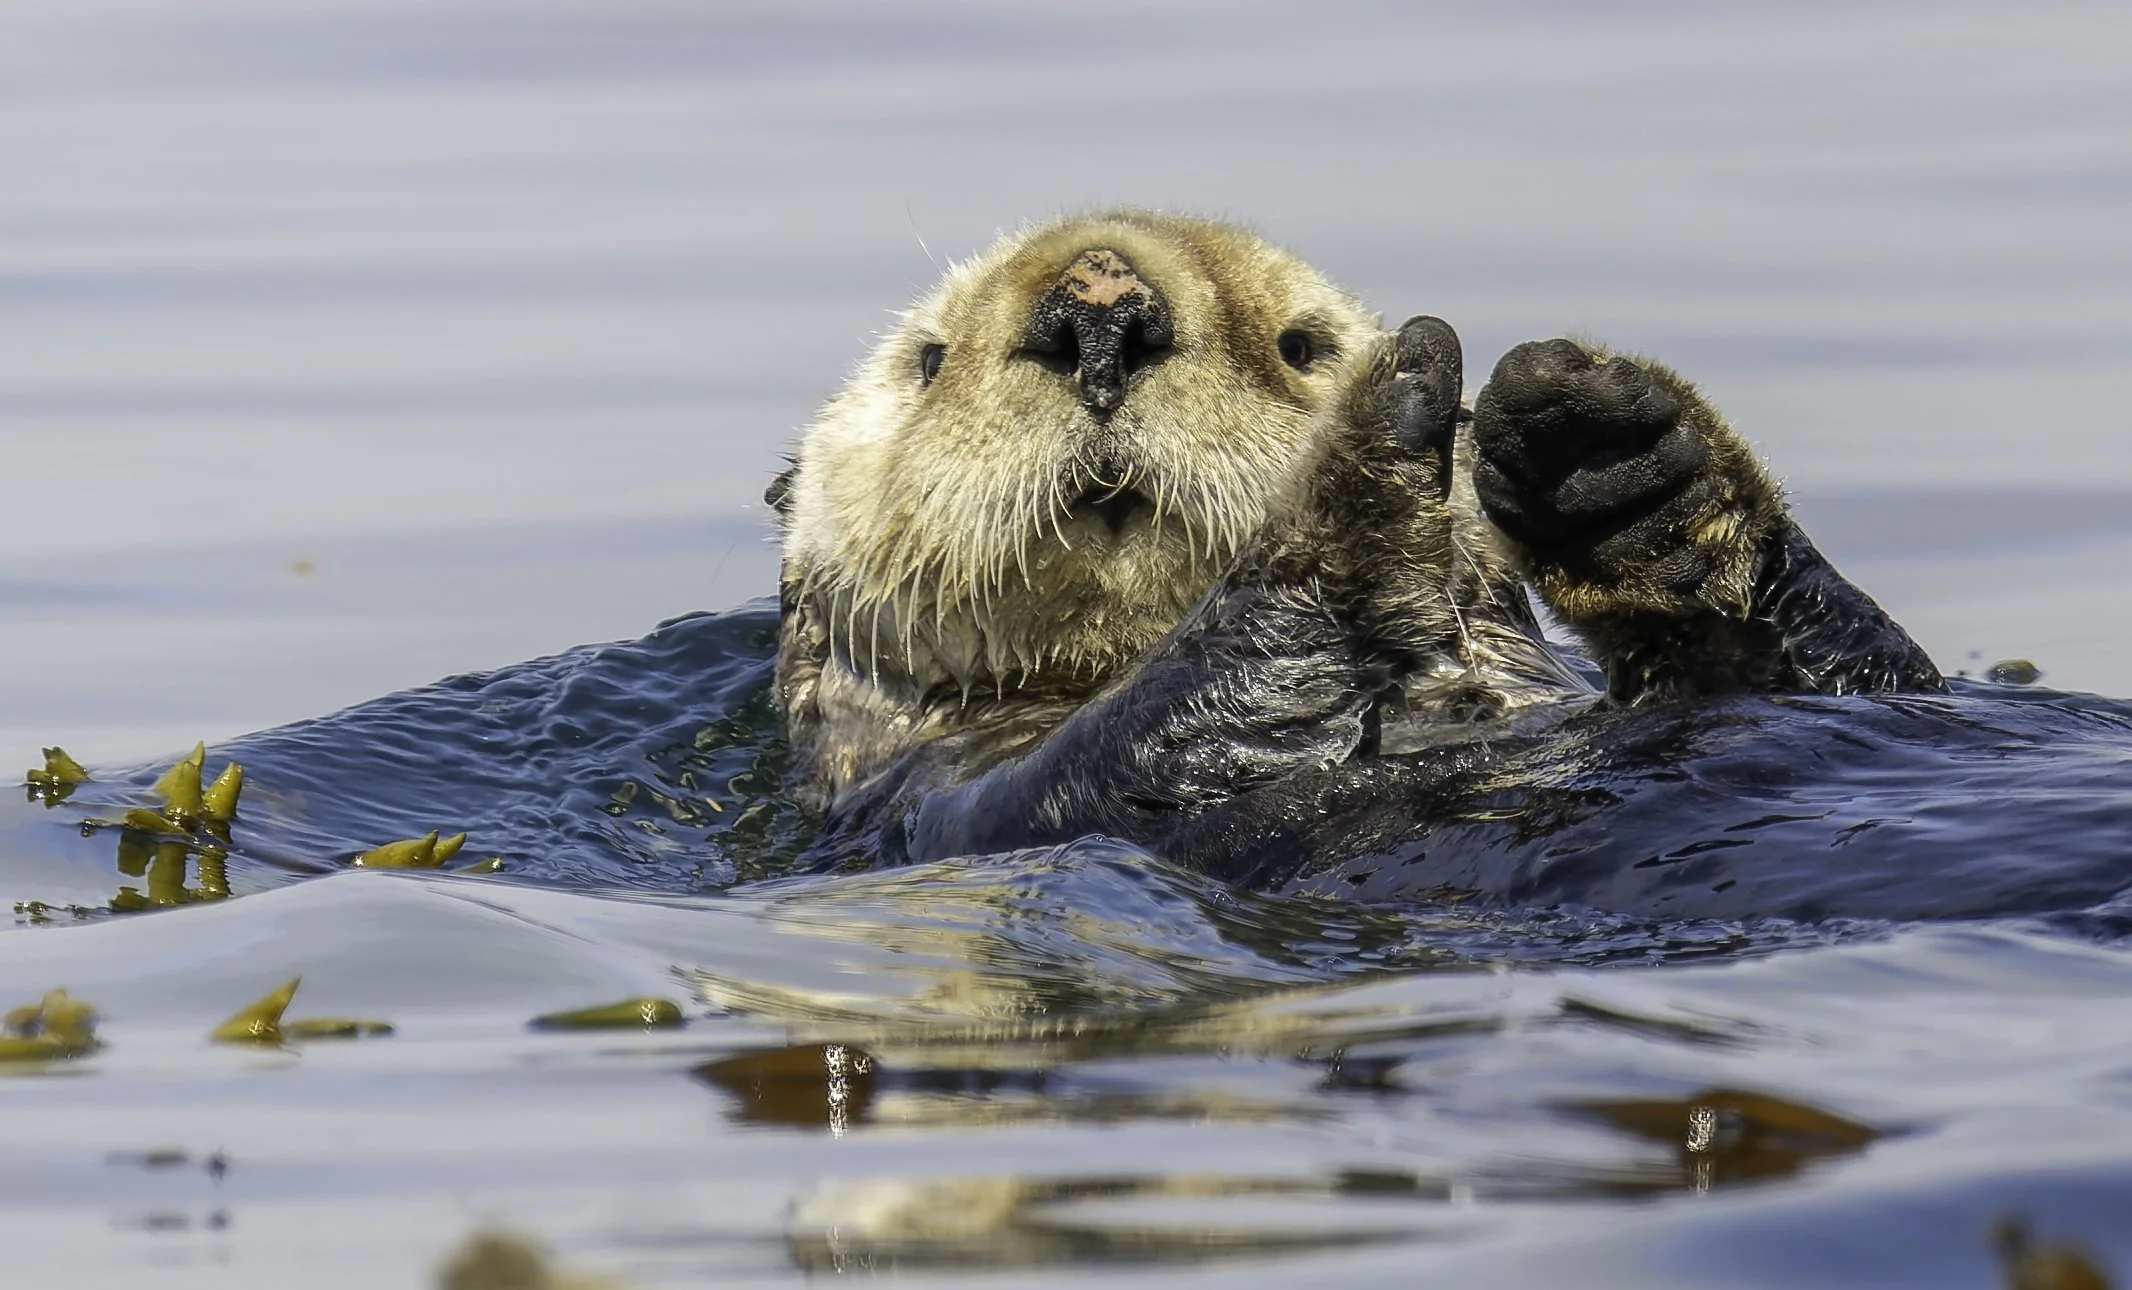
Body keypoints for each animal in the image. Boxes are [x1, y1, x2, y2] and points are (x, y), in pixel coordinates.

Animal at [769, 210, 1939, 885]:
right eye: (928, 361)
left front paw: (1614, 463)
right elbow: (1129, 746)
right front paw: (1365, 456)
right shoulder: (948, 800)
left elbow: (1856, 672)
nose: (1098, 313)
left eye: (1301, 345)